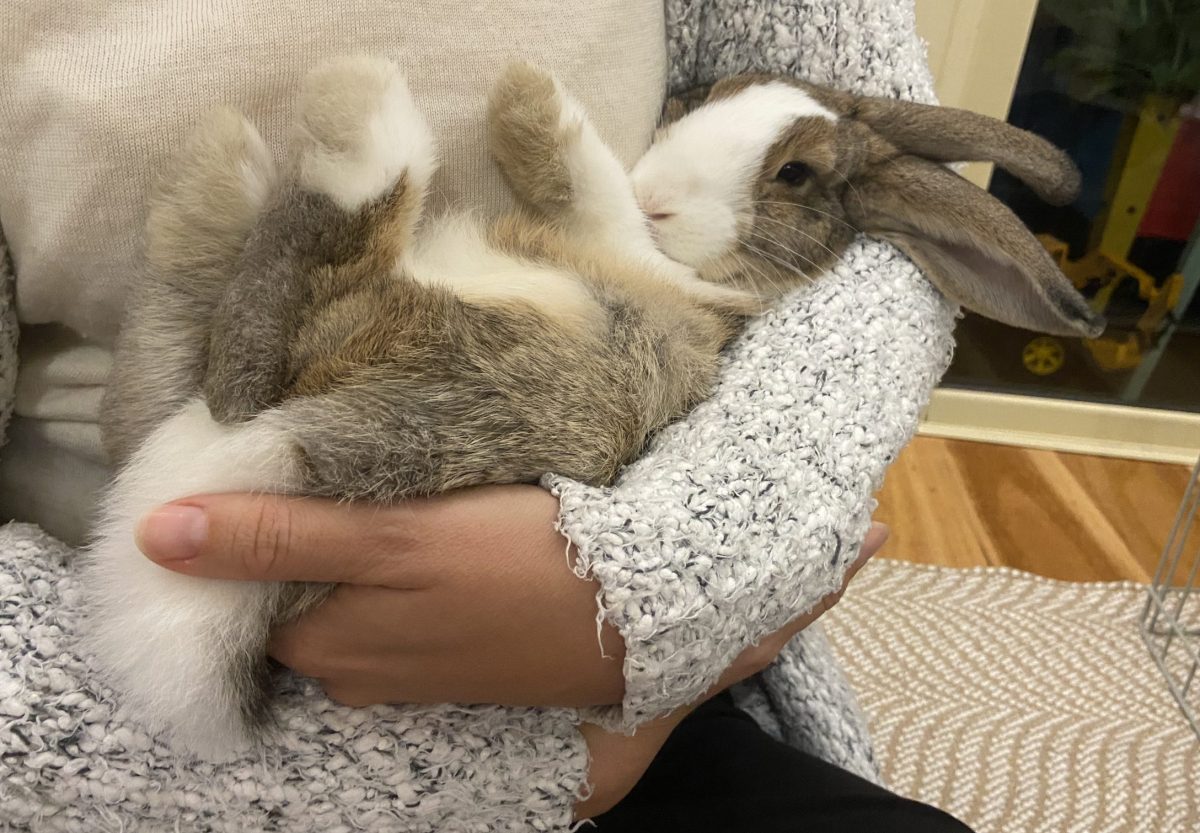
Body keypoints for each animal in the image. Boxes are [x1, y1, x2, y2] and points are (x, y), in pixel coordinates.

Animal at [84, 57, 1099, 763]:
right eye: (704, 96)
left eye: (797, 175)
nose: (662, 198)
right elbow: (600, 197)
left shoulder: (656, 281)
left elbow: (594, 189)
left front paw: (528, 103)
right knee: (186, 353)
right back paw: (222, 171)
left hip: (410, 338)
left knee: (283, 315)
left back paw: (341, 111)